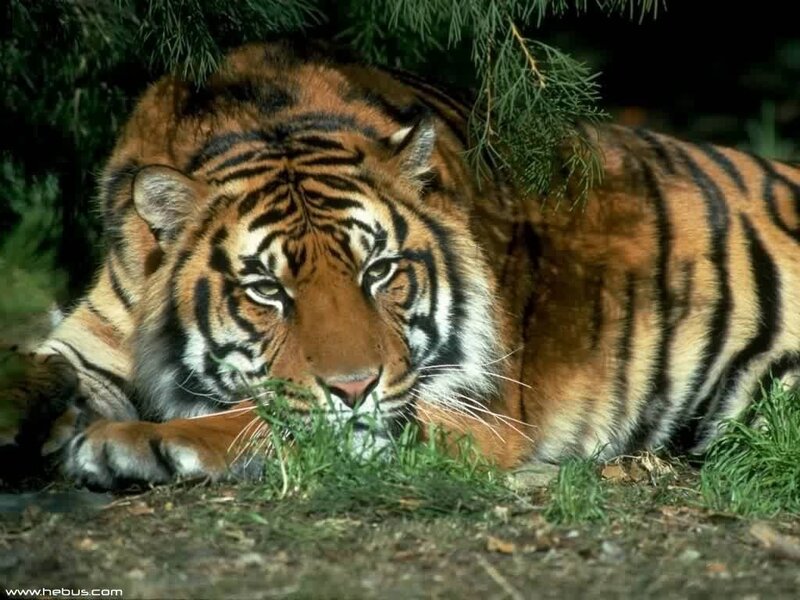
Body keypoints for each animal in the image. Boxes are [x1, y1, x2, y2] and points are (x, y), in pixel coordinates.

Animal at [3, 41, 800, 490]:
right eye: (266, 289)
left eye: (379, 271)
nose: (354, 386)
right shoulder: (90, 338)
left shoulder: (469, 410)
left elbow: (269, 419)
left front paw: (129, 445)